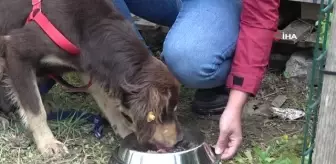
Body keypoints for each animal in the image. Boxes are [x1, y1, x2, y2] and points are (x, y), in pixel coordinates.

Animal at [0, 0, 182, 155]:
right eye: (165, 112)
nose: (179, 140)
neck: (86, 29)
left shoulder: (87, 67)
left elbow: (108, 103)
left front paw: (124, 129)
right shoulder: (16, 51)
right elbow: (36, 110)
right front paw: (48, 143)